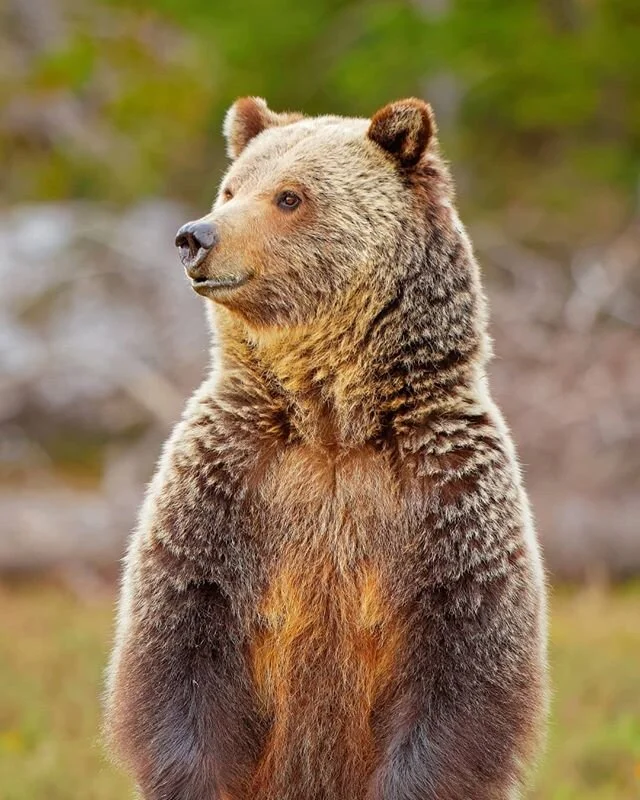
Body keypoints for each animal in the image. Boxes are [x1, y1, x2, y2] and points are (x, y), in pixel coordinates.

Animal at [105, 96, 548, 800]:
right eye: (232, 188)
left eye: (290, 196)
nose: (194, 236)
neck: (332, 424)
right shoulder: (224, 484)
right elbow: (179, 654)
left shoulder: (447, 495)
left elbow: (462, 674)